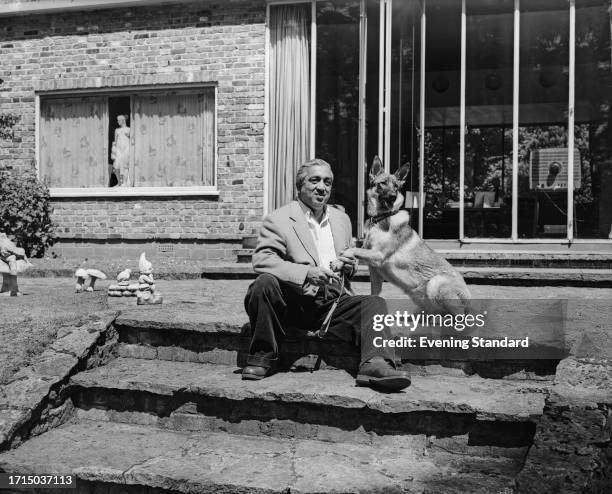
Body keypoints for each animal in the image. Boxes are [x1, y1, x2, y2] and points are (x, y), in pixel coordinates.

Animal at [346, 156, 470, 314]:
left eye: (396, 186)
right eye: (382, 183)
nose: (393, 197)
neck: (381, 218)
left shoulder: (378, 255)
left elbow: (352, 249)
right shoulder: (374, 271)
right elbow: (375, 294)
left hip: (435, 284)